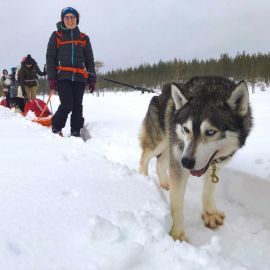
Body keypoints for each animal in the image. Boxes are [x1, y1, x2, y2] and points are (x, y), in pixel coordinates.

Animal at [140, 76, 252, 240]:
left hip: (170, 147)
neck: (209, 88)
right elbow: (176, 204)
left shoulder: (213, 165)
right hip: (160, 143)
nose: (186, 162)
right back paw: (142, 180)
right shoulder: (178, 162)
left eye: (211, 132)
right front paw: (177, 235)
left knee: (160, 163)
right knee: (144, 158)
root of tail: (160, 93)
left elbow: (208, 191)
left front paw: (210, 213)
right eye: (186, 129)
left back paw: (166, 184)